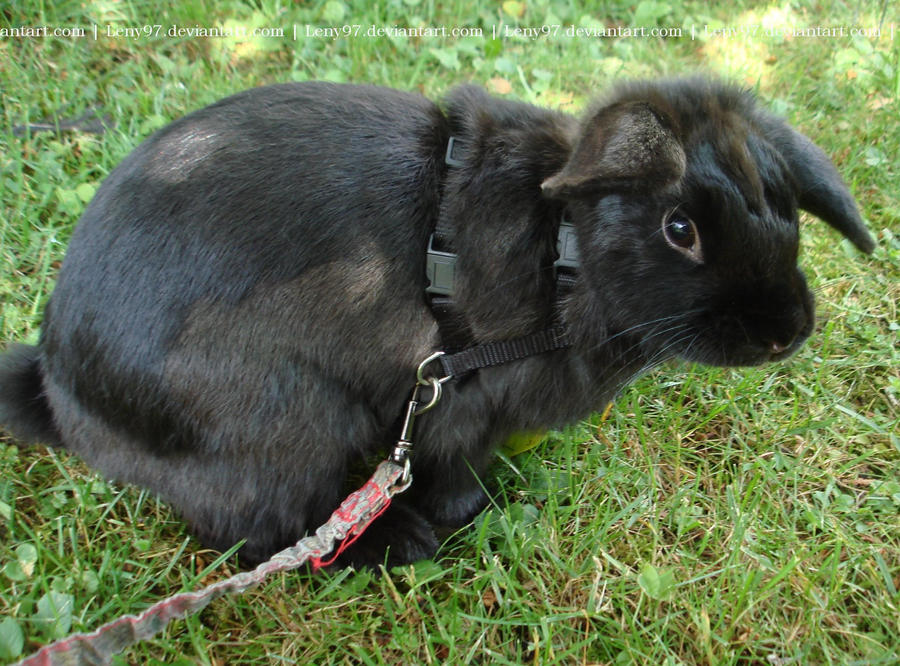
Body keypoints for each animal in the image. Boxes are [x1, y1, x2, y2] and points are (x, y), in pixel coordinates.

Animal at [0, 77, 875, 568]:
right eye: (680, 228)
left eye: (783, 205)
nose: (787, 329)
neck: (566, 249)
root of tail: (62, 395)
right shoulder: (454, 407)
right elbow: (453, 477)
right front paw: (469, 519)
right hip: (287, 425)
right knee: (269, 533)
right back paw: (394, 544)